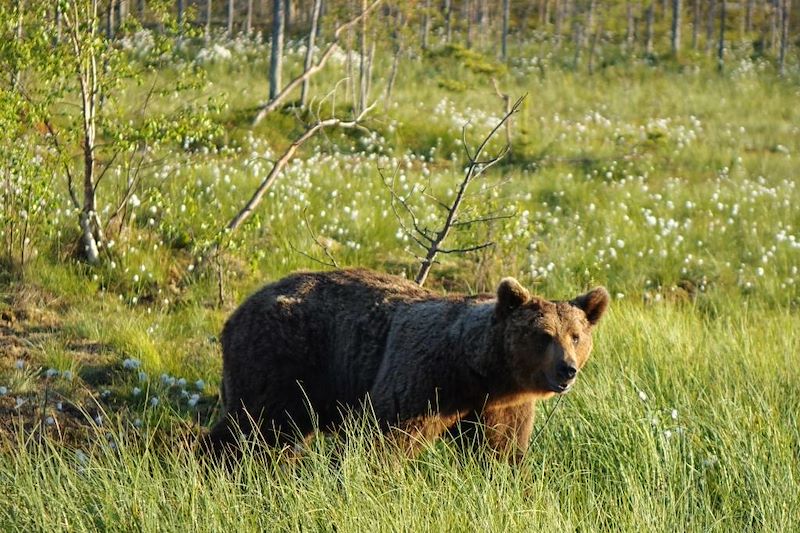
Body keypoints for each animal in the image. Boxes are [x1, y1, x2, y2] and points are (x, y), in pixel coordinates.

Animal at [206, 268, 608, 460]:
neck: (477, 373)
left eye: (575, 335)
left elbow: (501, 450)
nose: (567, 369)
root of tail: (237, 311)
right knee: (258, 426)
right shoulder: (421, 378)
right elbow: (382, 438)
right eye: (543, 334)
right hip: (285, 355)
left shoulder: (498, 406)